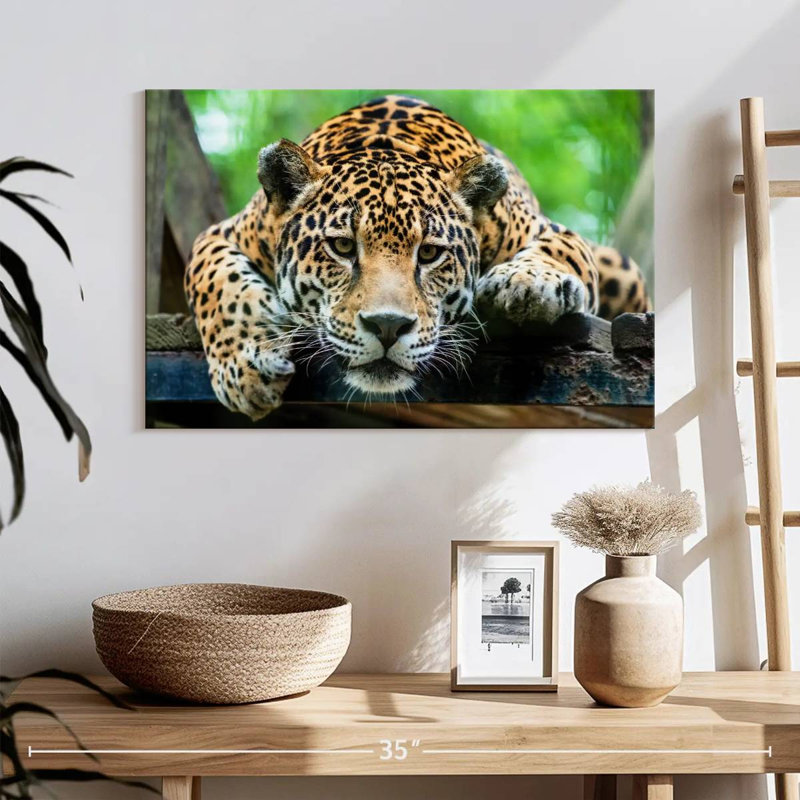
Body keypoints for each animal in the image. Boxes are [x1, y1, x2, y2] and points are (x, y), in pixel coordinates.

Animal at [184, 95, 650, 419]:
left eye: (429, 253)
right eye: (342, 247)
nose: (388, 327)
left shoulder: (548, 230)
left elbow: (561, 250)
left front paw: (527, 283)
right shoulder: (221, 234)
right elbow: (218, 284)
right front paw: (245, 368)